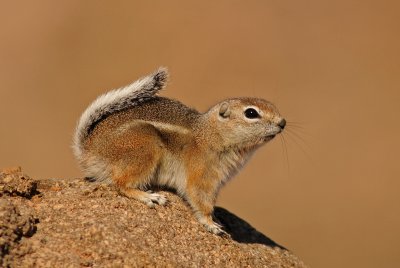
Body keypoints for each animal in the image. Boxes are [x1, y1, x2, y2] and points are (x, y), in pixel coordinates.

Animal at [72, 67, 284, 234]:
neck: (210, 135)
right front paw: (211, 224)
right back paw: (150, 196)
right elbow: (200, 200)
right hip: (145, 147)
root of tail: (89, 150)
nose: (283, 123)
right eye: (251, 113)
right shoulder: (202, 176)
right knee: (120, 184)